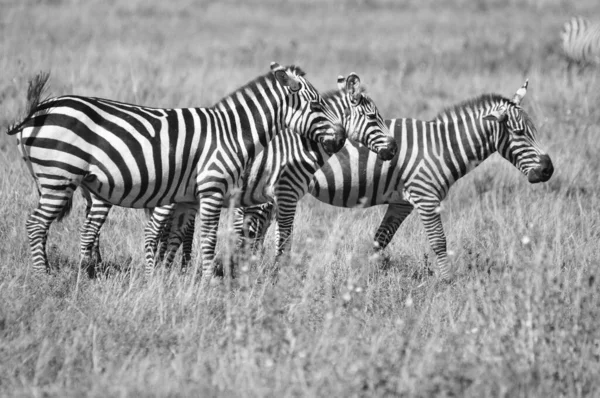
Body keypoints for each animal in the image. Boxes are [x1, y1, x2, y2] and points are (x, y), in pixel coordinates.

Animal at [5, 63, 346, 286]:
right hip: (58, 178)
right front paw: (208, 283)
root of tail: (38, 110)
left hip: (57, 182)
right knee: (36, 225)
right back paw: (43, 276)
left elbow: (176, 239)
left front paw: (169, 279)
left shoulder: (186, 198)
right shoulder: (212, 188)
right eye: (317, 104)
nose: (342, 139)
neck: (232, 133)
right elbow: (207, 237)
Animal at [79, 73, 398, 274]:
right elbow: (281, 235)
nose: (394, 149)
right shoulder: (283, 192)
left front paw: (249, 269)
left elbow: (257, 236)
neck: (298, 144)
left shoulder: (264, 199)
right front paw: (275, 272)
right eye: (373, 117)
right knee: (131, 229)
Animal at [237, 80, 556, 280]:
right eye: (519, 133)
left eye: (533, 129)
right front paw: (448, 282)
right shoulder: (426, 197)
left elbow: (380, 241)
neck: (442, 147)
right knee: (249, 230)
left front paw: (361, 277)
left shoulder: (402, 203)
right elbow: (439, 241)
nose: (548, 170)